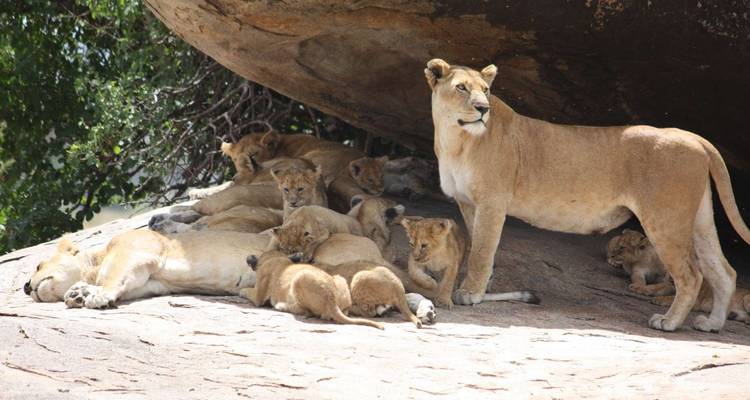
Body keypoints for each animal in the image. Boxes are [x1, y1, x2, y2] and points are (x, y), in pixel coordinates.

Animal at [23, 230, 270, 308]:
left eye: (38, 265)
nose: (25, 287)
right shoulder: (150, 282)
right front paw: (78, 293)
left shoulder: (133, 251)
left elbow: (112, 276)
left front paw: (96, 297)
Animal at [241, 250, 383, 329]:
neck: (276, 257)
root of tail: (332, 300)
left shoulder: (258, 296)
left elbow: (246, 290)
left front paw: (240, 290)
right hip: (340, 278)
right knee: (345, 311)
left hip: (300, 277)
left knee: (307, 312)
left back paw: (281, 306)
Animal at [424, 58, 749, 332]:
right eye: (461, 87)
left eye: (486, 91)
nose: (483, 108)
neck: (455, 140)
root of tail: (694, 137)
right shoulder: (468, 203)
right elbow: (480, 246)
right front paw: (484, 286)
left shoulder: (492, 201)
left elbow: (481, 250)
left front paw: (471, 293)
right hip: (699, 220)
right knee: (723, 271)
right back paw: (711, 324)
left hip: (665, 220)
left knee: (692, 275)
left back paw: (668, 322)